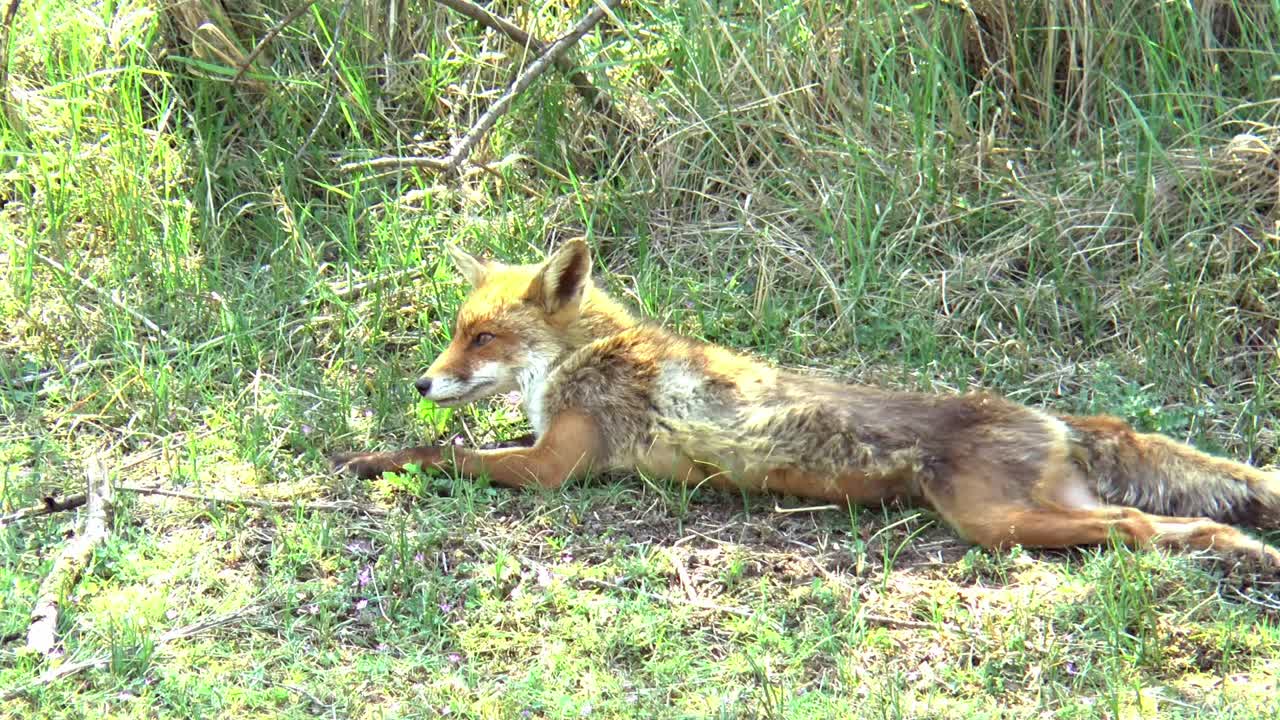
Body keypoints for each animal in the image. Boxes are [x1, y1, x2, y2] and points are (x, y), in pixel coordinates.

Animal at [332, 239, 1280, 567]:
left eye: (482, 339)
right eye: (457, 334)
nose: (422, 383)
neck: (591, 356)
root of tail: (1052, 417)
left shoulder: (553, 465)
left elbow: (442, 453)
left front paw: (371, 455)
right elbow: (453, 445)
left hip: (994, 522)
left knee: (1136, 526)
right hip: (1039, 511)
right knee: (1178, 522)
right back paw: (1244, 553)